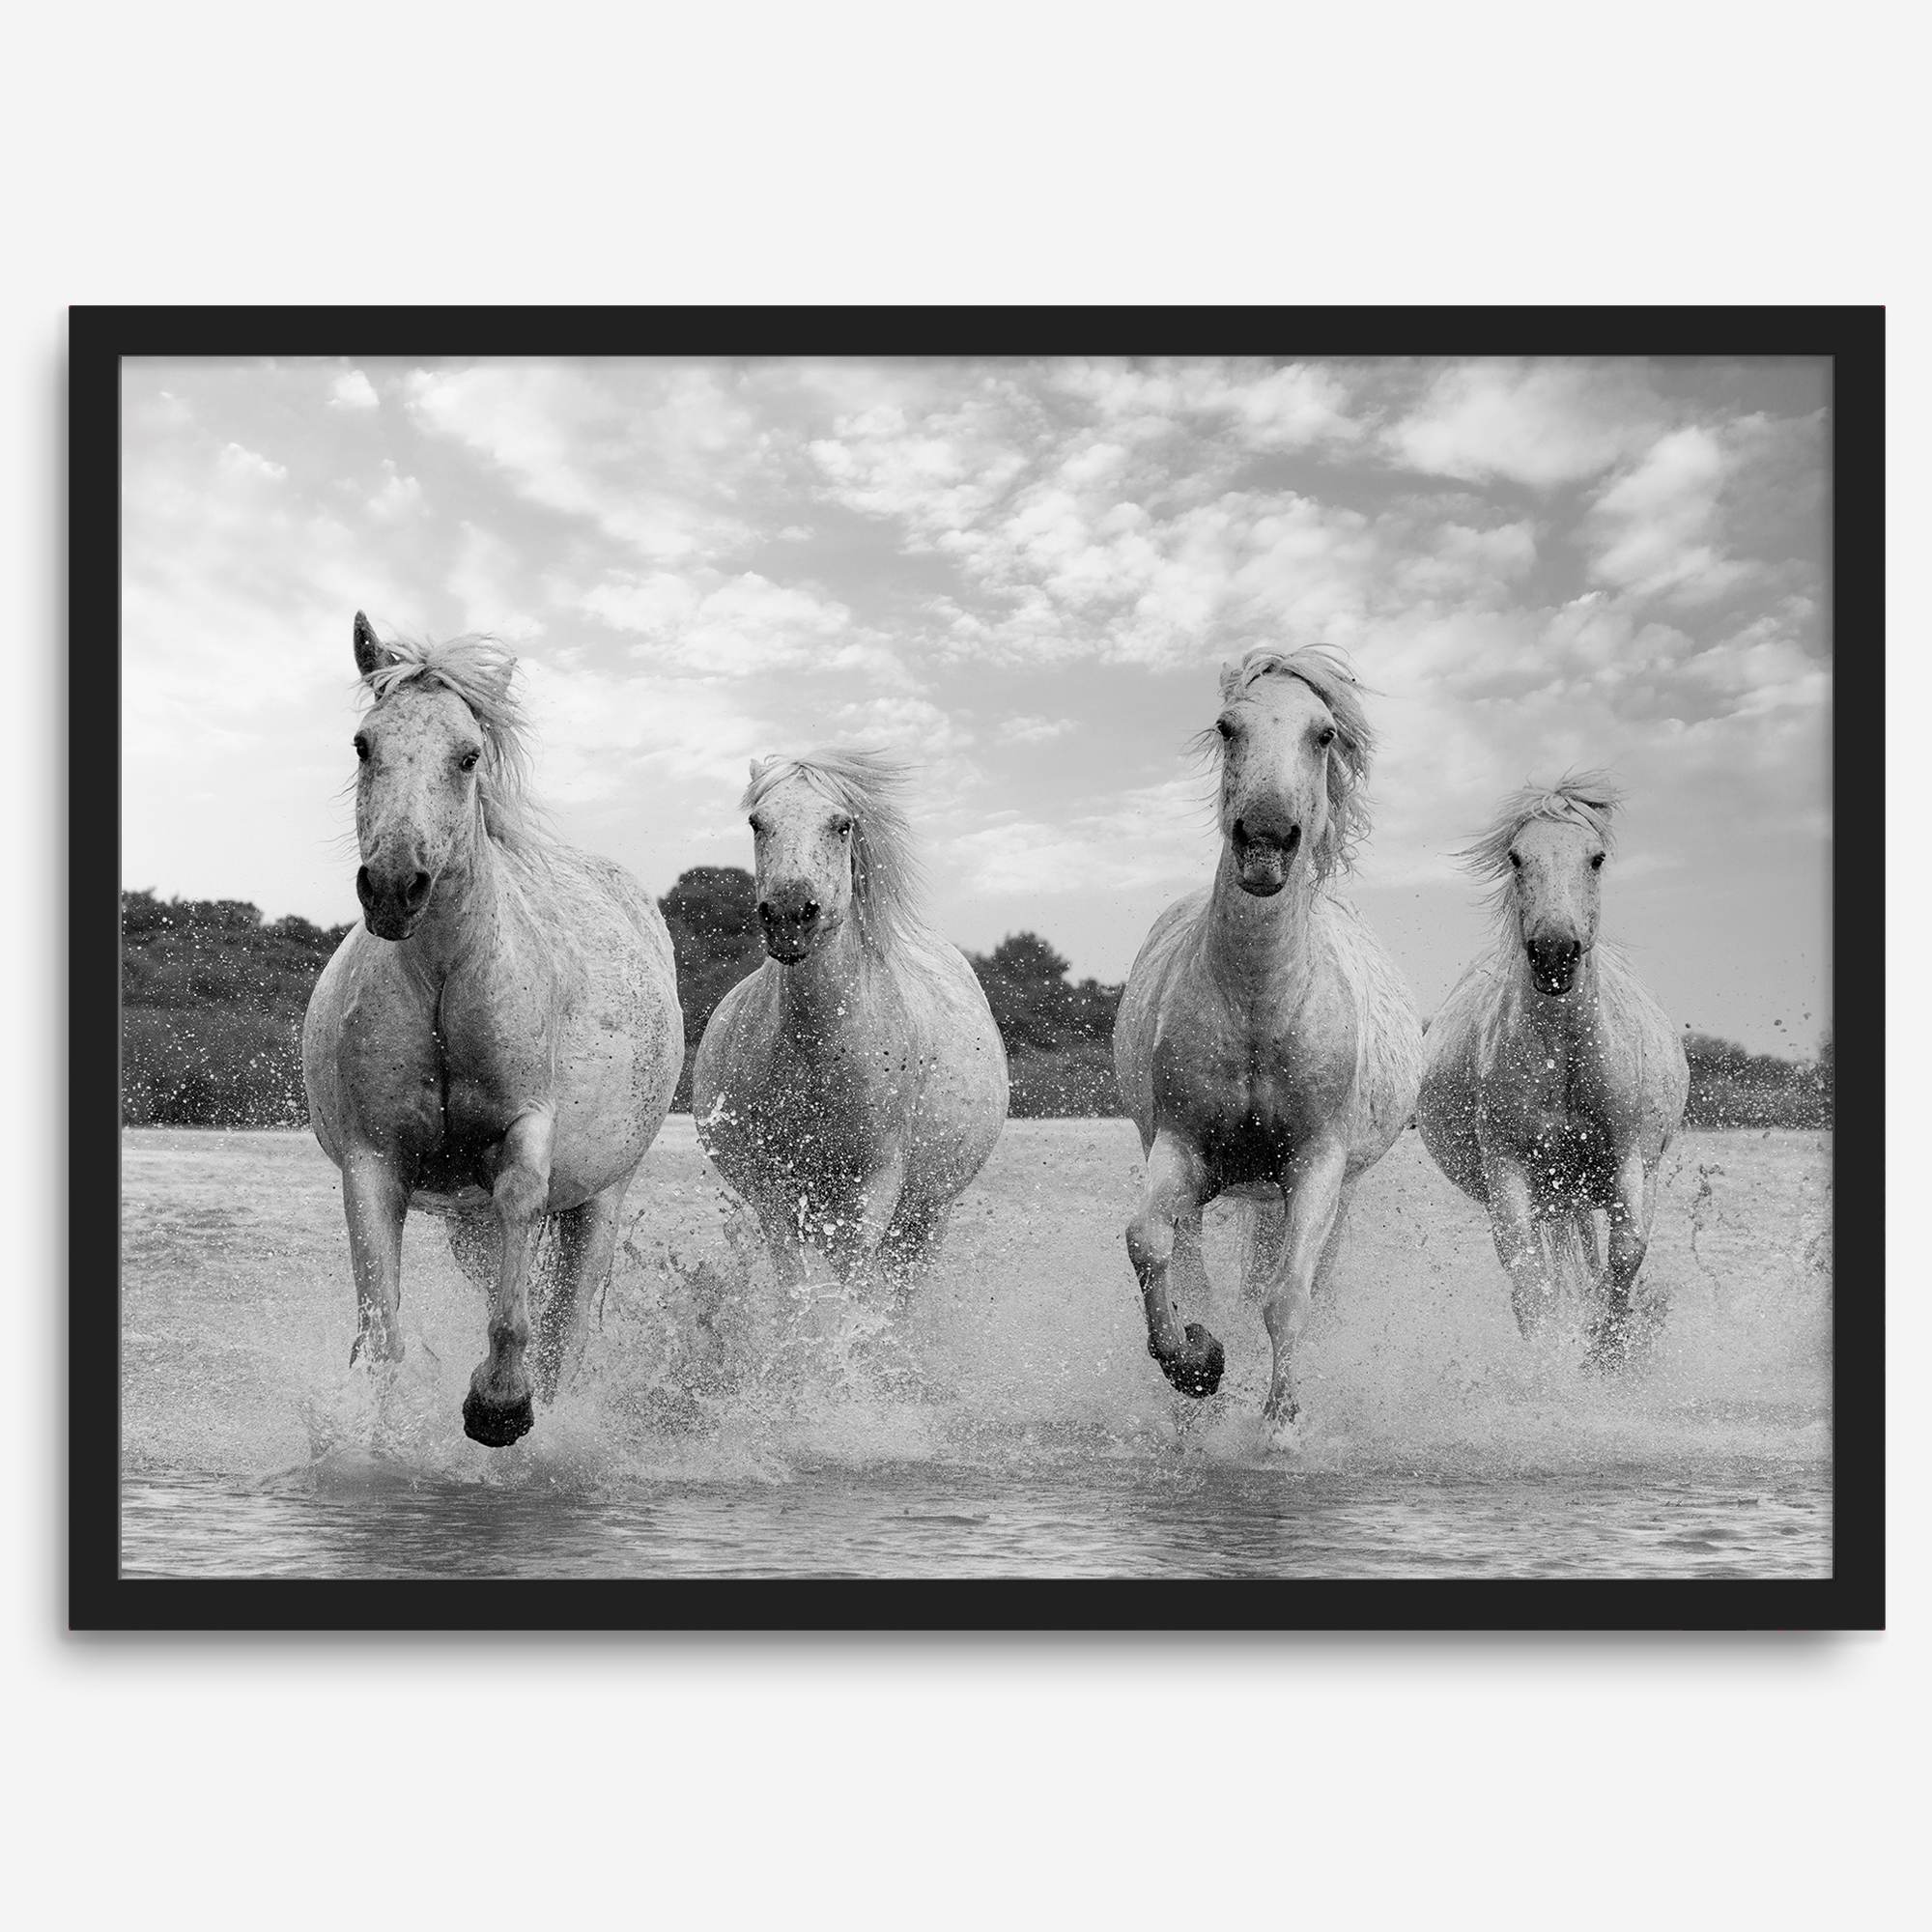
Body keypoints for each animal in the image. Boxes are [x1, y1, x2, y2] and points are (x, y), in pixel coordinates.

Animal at [302, 614, 683, 1447]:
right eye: (364, 744)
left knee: (567, 1330)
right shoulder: (373, 1163)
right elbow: (381, 1334)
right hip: (466, 1225)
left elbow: (519, 1230)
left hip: (600, 1200)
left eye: (468, 754)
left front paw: (500, 1403)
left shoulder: (525, 1129)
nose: (394, 888)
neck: (448, 973)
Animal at [691, 749, 1008, 1288]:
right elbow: (798, 1296)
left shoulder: (875, 1186)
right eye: (757, 822)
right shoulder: (776, 1195)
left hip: (927, 1214)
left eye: (841, 825)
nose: (790, 914)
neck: (819, 1046)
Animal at [1114, 646, 1424, 1444]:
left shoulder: (1316, 1165)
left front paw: (1281, 1425)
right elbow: (1148, 1241)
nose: (1263, 839)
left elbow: (1288, 1297)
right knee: (1196, 1265)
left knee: (1299, 1281)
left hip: (1335, 1189)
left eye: (1323, 734)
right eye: (1229, 727)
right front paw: (1196, 1365)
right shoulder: (1181, 1148)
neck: (1259, 1003)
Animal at [1414, 773, 1689, 1363]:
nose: (1555, 952)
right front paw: (1550, 1367)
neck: (1566, 1053)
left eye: (1596, 857)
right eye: (1517, 857)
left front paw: (1605, 1354)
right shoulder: (1510, 1172)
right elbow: (1531, 1283)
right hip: (1553, 1197)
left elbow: (1624, 1258)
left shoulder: (1630, 1163)